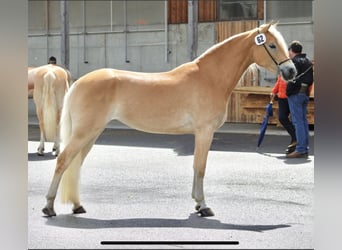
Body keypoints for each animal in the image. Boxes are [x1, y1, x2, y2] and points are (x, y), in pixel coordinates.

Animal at [42, 22, 296, 217]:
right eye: (272, 45)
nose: (291, 72)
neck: (209, 77)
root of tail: (79, 82)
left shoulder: (201, 134)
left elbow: (197, 167)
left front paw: (197, 204)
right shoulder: (205, 132)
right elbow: (200, 167)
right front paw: (204, 206)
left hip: (92, 134)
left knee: (75, 164)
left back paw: (77, 205)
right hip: (84, 132)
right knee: (63, 161)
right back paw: (49, 207)